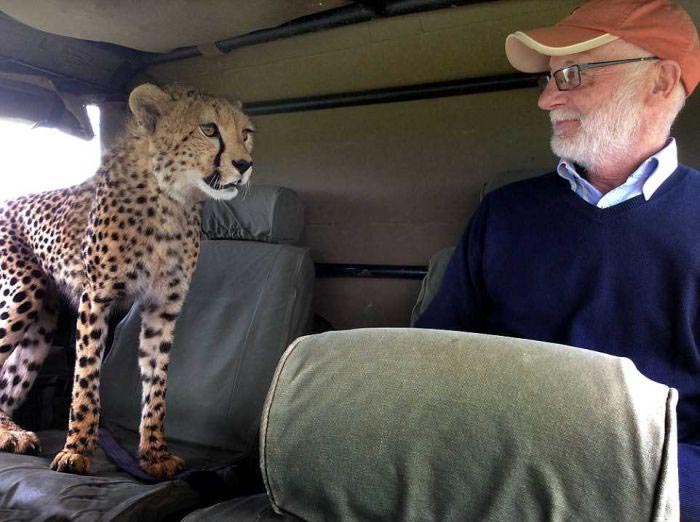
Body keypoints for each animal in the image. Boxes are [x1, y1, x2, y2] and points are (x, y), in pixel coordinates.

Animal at [0, 83, 254, 478]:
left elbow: (157, 383)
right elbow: (86, 378)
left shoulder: (163, 307)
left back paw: (12, 432)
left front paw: (155, 454)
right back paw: (14, 434)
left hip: (41, 326)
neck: (171, 200)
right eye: (209, 129)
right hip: (22, 294)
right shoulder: (96, 297)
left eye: (246, 133)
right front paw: (76, 451)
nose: (244, 165)